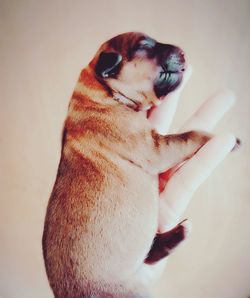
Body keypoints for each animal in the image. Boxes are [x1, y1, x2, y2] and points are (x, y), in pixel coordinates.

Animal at [43, 32, 213, 298]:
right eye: (144, 46)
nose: (183, 52)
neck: (104, 89)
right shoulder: (156, 148)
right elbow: (189, 136)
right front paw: (214, 137)